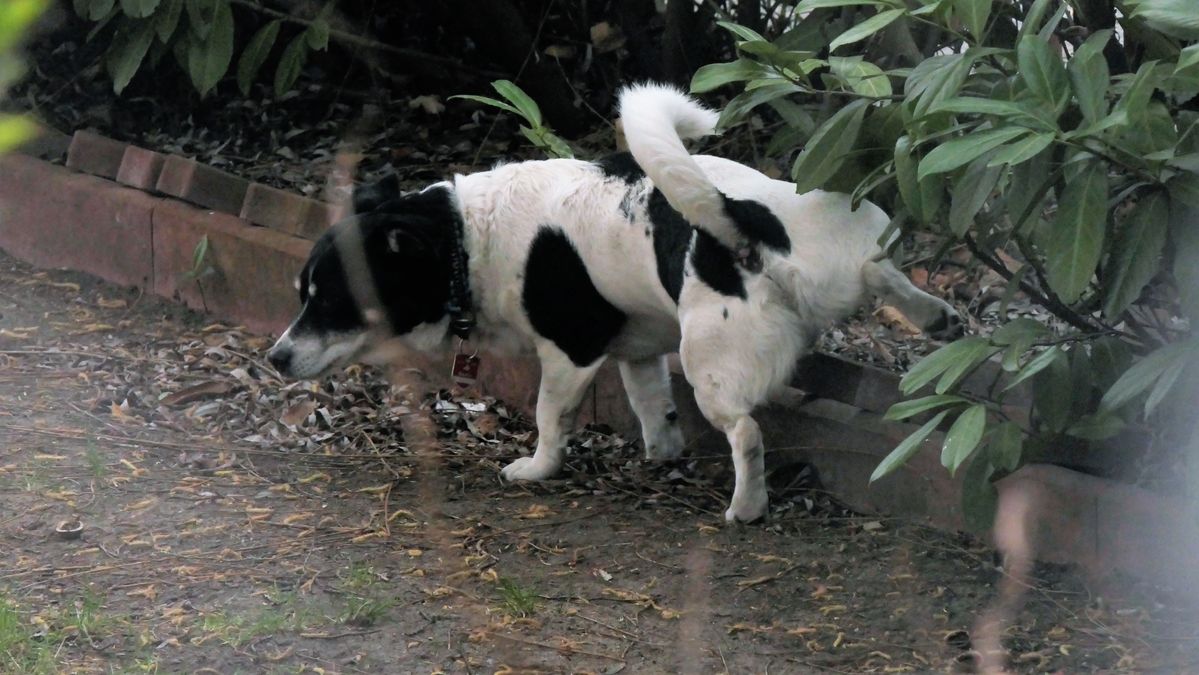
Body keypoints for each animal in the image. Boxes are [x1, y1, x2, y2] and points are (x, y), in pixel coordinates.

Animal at [267, 82, 959, 520]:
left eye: (330, 303)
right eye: (304, 295)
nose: (274, 358)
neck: (465, 238)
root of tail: (741, 217)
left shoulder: (569, 353)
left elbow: (550, 417)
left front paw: (536, 469)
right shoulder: (637, 350)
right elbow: (652, 406)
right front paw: (661, 453)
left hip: (709, 361)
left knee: (747, 433)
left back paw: (747, 507)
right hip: (851, 254)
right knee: (882, 275)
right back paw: (936, 317)